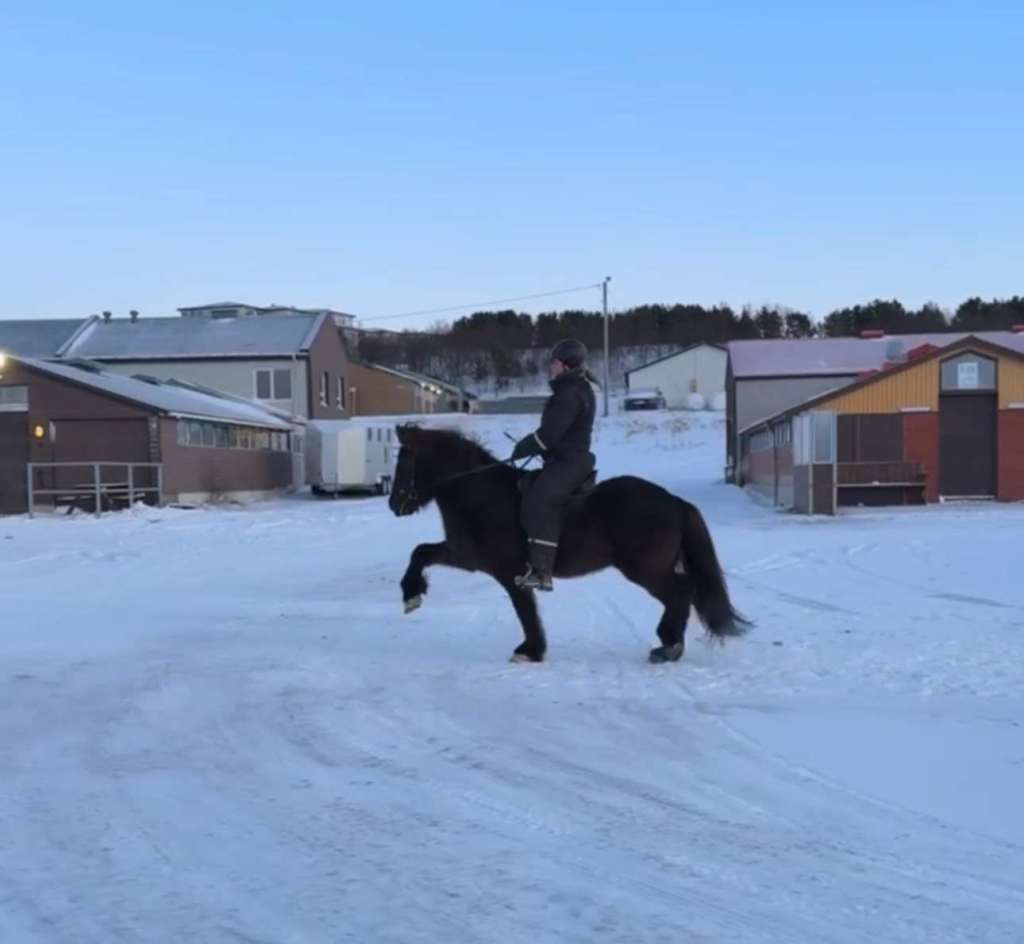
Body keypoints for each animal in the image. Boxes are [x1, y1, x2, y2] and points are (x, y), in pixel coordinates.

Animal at [387, 423, 750, 664]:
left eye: (405, 461)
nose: (394, 504)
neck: (481, 495)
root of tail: (674, 501)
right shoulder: (466, 555)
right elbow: (421, 552)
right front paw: (411, 594)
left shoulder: (508, 572)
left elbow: (525, 610)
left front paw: (530, 650)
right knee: (683, 592)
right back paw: (670, 644)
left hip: (645, 569)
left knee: (680, 592)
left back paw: (668, 645)